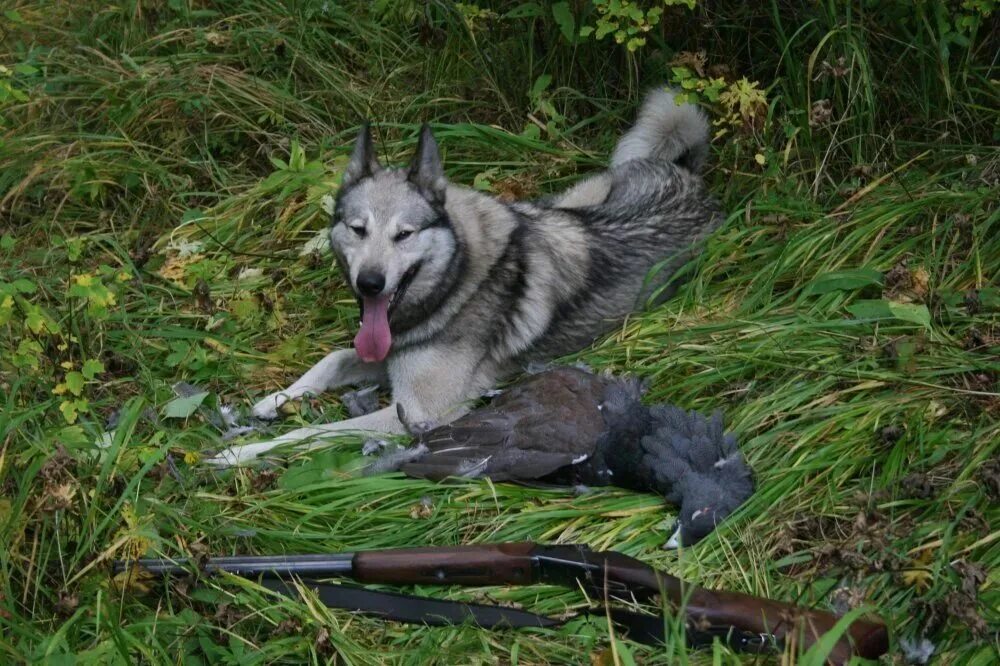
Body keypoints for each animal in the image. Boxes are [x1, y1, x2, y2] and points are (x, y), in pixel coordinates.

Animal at [211, 88, 724, 464]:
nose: (370, 284)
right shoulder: (387, 353)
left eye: (404, 234)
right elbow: (332, 359)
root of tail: (685, 173)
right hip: (570, 200)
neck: (455, 282)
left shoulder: (422, 415)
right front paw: (276, 399)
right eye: (358, 229)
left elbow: (315, 433)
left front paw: (242, 451)